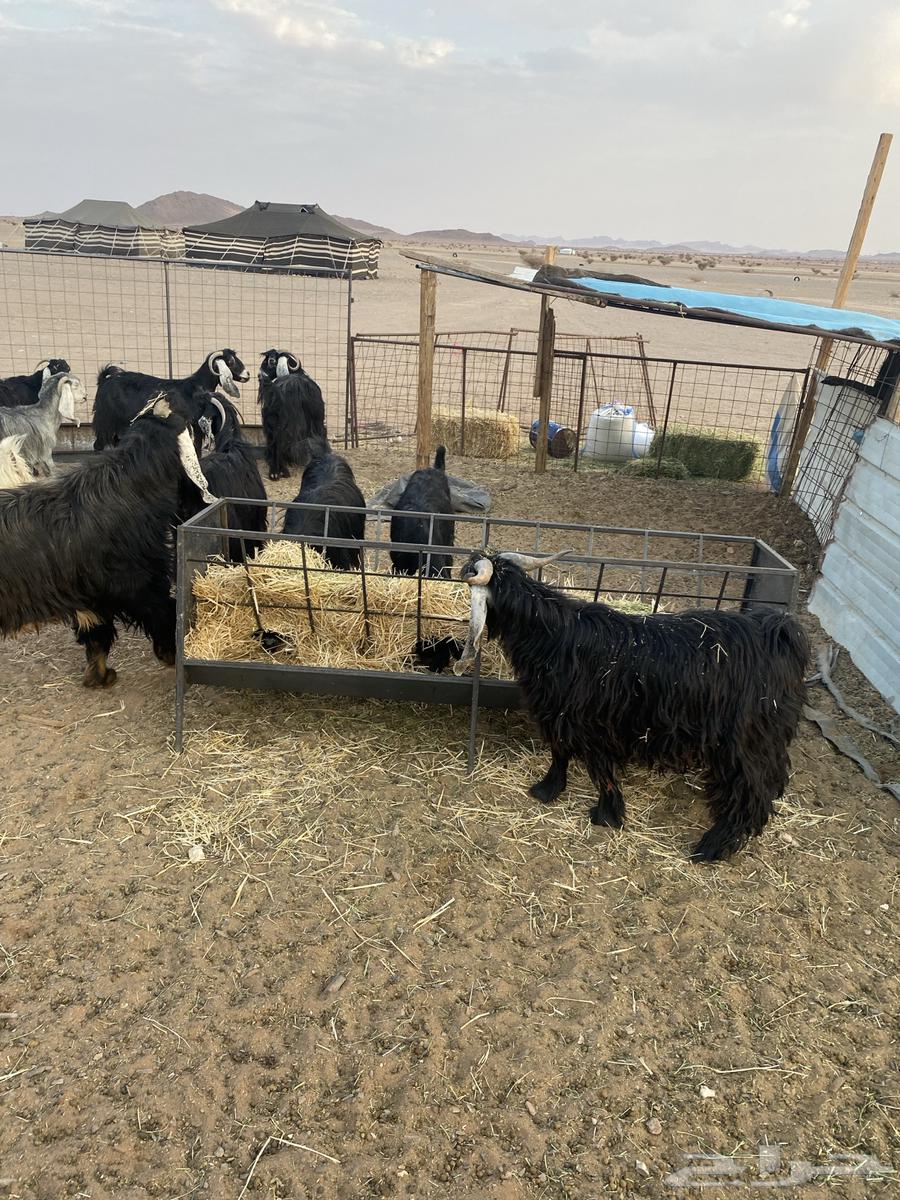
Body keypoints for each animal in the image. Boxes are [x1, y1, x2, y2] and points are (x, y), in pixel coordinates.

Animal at [0, 395, 216, 688]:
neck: (128, 486)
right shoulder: (138, 585)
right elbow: (164, 615)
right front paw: (171, 655)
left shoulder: (91, 596)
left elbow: (96, 636)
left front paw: (99, 677)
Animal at [92, 349, 250, 450]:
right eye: (230, 361)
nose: (247, 374)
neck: (197, 385)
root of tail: (104, 380)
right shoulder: (194, 426)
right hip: (105, 421)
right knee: (98, 445)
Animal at [257, 349, 326, 479]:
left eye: (270, 361)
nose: (259, 375)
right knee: (281, 444)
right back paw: (282, 471)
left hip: (273, 423)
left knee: (275, 443)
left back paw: (275, 472)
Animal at [454, 551, 809, 861]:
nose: (462, 564)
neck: (553, 636)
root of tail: (780, 634)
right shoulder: (561, 715)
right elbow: (561, 752)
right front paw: (552, 790)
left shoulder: (584, 721)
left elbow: (593, 767)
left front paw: (603, 814)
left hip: (746, 740)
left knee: (753, 792)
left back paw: (710, 847)